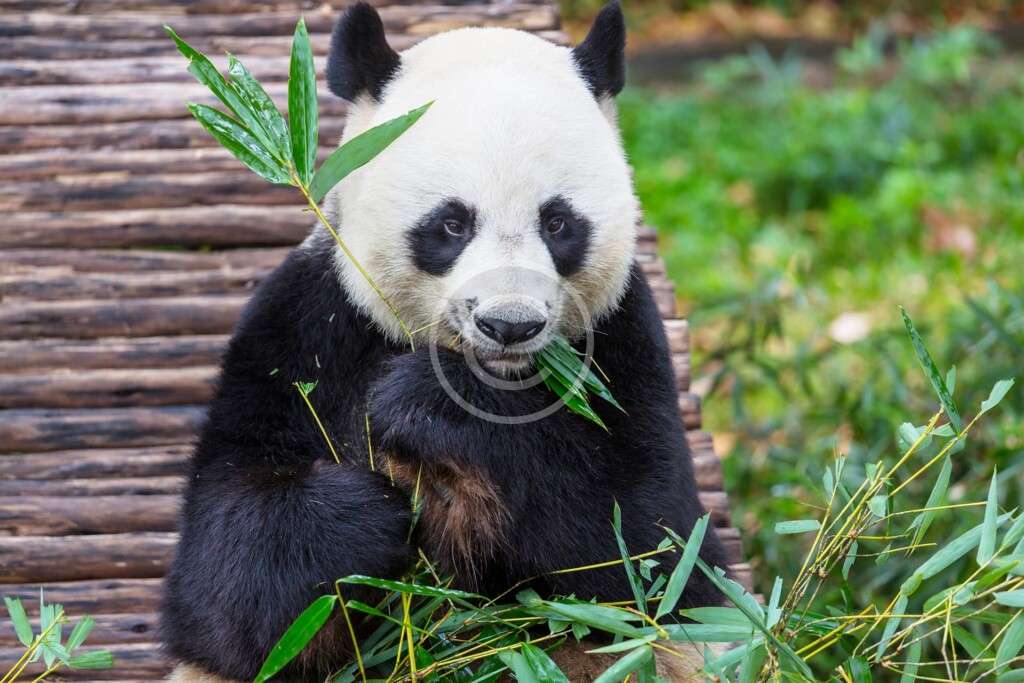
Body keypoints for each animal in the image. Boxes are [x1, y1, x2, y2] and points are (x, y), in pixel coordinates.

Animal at [160, 2, 729, 681]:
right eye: (452, 224)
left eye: (558, 222)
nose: (509, 325)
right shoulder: (309, 325)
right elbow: (224, 580)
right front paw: (363, 514)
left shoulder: (621, 337)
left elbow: (651, 546)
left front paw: (431, 405)